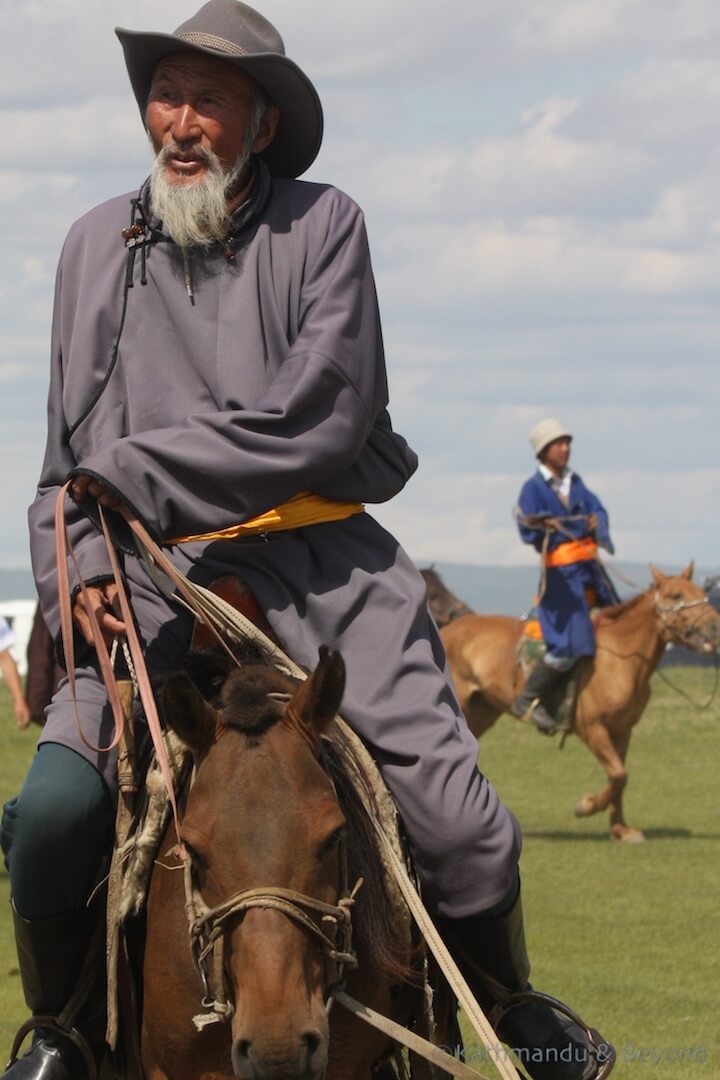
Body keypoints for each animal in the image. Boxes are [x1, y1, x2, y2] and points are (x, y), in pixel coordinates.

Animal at [423, 565, 720, 842]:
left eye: (701, 592)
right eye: (676, 595)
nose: (715, 626)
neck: (620, 657)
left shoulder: (622, 731)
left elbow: (620, 778)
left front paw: (621, 829)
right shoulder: (592, 729)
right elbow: (618, 774)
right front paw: (587, 806)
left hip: (481, 713)